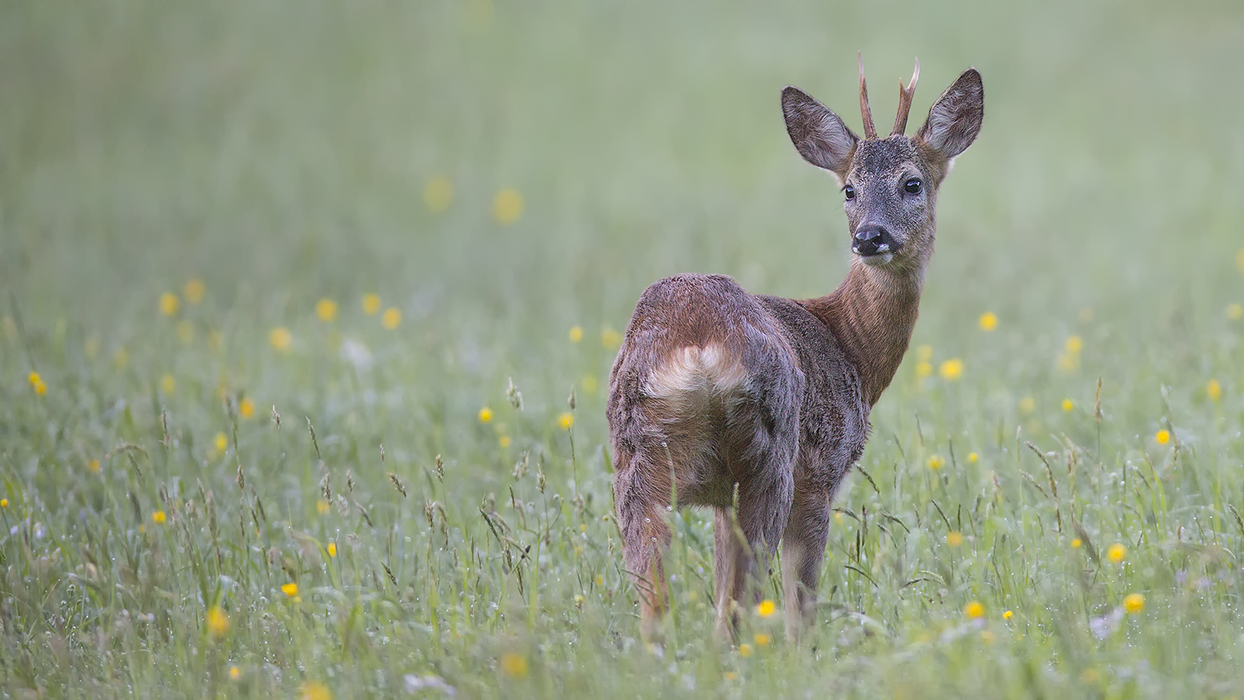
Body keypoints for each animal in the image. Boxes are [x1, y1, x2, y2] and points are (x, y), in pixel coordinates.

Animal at [607, 57, 985, 641]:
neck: (851, 346)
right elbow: (799, 609)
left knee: (661, 611)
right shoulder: (821, 473)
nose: (870, 237)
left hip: (638, 463)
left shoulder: (719, 500)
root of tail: (697, 346)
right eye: (848, 189)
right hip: (771, 459)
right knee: (741, 607)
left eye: (912, 182)